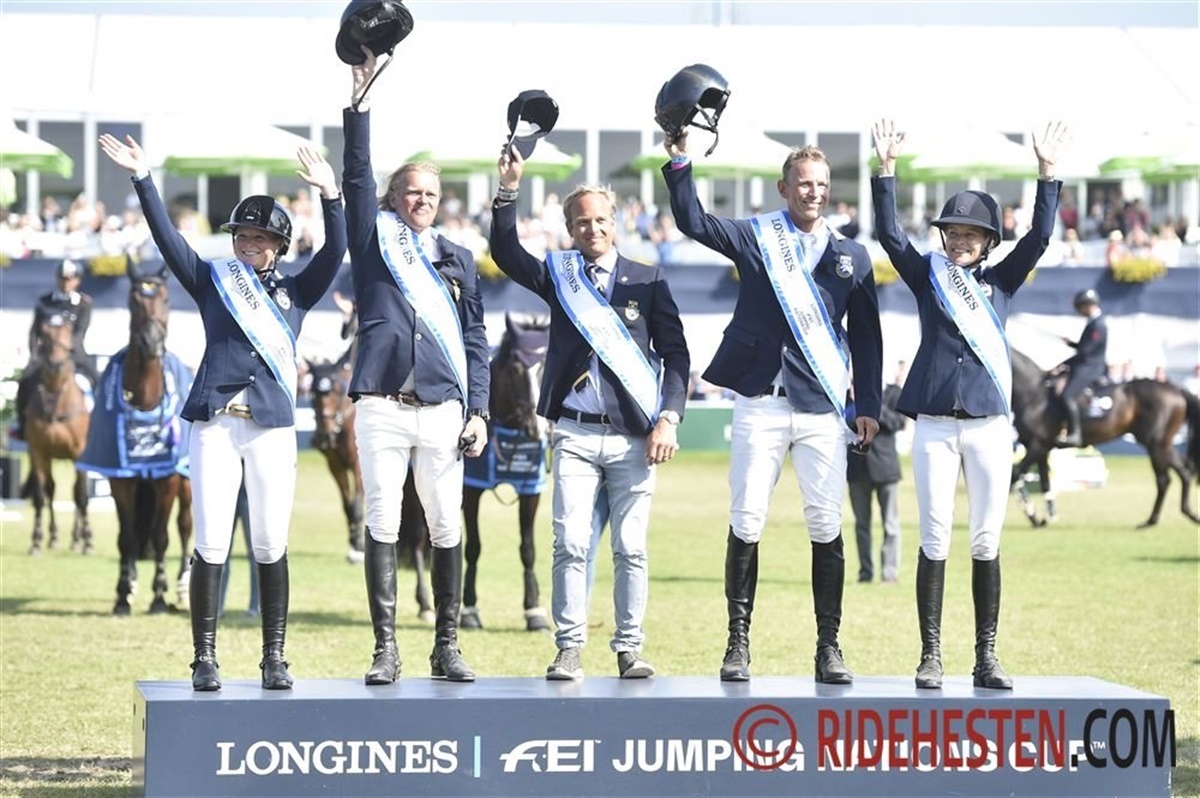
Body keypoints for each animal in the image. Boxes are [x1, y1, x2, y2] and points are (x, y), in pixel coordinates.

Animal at [23, 314, 92, 555]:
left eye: (68, 338)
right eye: (45, 338)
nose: (55, 365)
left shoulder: (80, 453)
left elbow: (81, 496)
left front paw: (87, 542)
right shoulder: (39, 453)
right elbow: (41, 495)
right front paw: (36, 541)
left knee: (78, 494)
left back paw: (78, 539)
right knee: (52, 490)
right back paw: (54, 537)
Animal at [79, 260, 194, 615]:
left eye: (166, 300)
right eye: (132, 301)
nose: (150, 343)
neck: (143, 398)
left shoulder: (168, 480)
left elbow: (161, 536)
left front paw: (158, 596)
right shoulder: (121, 478)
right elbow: (126, 536)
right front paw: (122, 594)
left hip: (187, 482)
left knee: (185, 526)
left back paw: (182, 587)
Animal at [461, 312, 552, 632]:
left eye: (547, 364)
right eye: (515, 369)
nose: (538, 429)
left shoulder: (530, 492)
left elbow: (528, 549)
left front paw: (534, 611)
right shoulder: (470, 490)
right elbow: (473, 547)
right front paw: (470, 610)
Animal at [1010, 348, 1200, 529]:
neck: (1033, 394)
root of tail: (1177, 390)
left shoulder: (1038, 445)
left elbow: (1015, 475)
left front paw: (1033, 515)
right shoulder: (1039, 448)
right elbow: (1041, 483)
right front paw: (1041, 518)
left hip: (1157, 445)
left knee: (1164, 480)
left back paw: (1152, 521)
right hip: (1159, 444)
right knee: (1183, 472)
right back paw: (1186, 514)